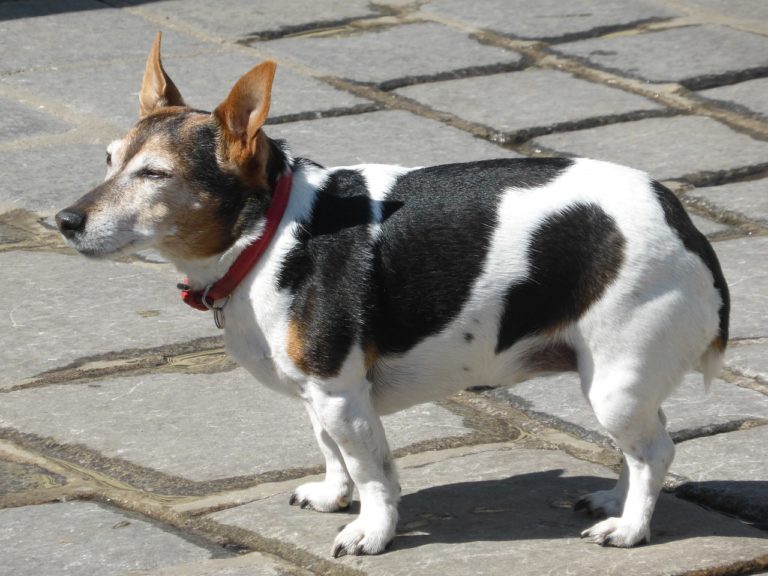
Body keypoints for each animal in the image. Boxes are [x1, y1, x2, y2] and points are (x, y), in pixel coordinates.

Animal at [57, 36, 728, 560]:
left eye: (154, 175)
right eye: (109, 161)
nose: (64, 220)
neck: (267, 235)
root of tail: (679, 218)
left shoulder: (340, 397)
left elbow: (372, 470)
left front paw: (371, 533)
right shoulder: (321, 394)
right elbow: (331, 453)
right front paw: (332, 498)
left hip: (614, 382)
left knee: (656, 451)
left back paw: (630, 527)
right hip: (620, 385)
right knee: (641, 448)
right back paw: (616, 497)